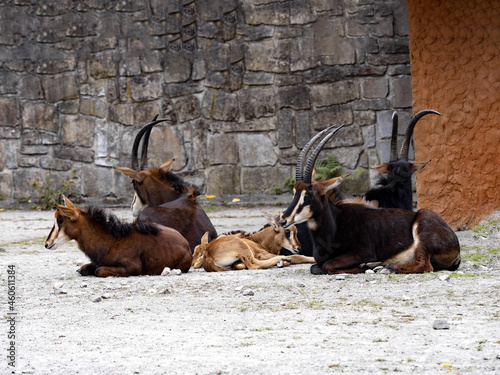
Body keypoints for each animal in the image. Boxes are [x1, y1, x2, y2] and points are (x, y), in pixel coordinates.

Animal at [44, 197, 191, 276]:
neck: (112, 240)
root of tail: (187, 244)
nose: (47, 243)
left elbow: (99, 271)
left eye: (60, 220)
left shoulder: (132, 267)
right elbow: (83, 269)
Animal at [280, 126, 458, 276]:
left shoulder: (364, 252)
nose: (283, 220)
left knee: (425, 265)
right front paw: (366, 266)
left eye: (309, 194)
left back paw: (387, 267)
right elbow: (315, 267)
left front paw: (364, 266)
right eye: (295, 192)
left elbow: (326, 265)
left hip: (423, 230)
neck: (335, 224)